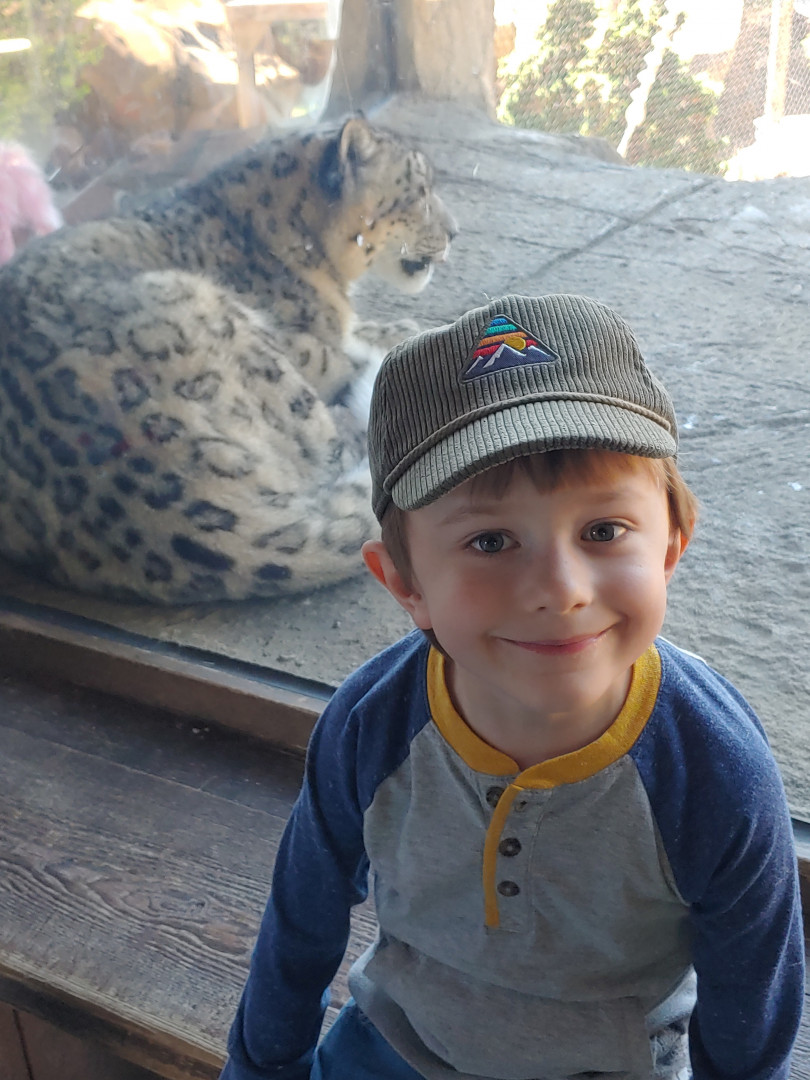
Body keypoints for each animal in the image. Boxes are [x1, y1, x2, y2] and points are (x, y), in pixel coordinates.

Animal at [0, 115, 456, 604]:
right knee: (331, 447)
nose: (455, 233)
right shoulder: (307, 345)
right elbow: (340, 352)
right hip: (226, 325)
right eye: (420, 192)